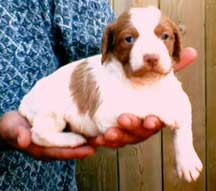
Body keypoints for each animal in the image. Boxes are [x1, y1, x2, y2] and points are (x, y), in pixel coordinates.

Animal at [18, 6, 202, 182]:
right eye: (129, 39)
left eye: (165, 36)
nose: (151, 58)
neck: (147, 83)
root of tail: (24, 102)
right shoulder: (108, 112)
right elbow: (144, 104)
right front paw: (169, 112)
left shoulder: (180, 97)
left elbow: (184, 129)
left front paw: (188, 162)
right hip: (51, 112)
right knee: (38, 134)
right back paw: (73, 139)